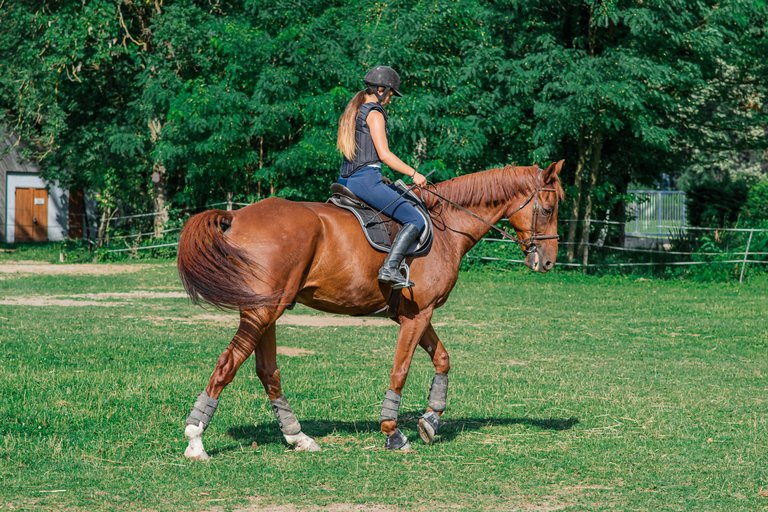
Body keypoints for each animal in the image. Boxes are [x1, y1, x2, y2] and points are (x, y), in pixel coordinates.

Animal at [178, 159, 564, 456]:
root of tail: (237, 217)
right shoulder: (418, 316)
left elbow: (442, 359)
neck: (446, 229)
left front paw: (430, 421)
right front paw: (393, 432)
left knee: (267, 371)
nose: (547, 262)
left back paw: (297, 436)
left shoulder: (416, 315)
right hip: (261, 313)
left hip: (268, 310)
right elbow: (400, 370)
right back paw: (196, 441)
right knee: (228, 364)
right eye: (547, 209)